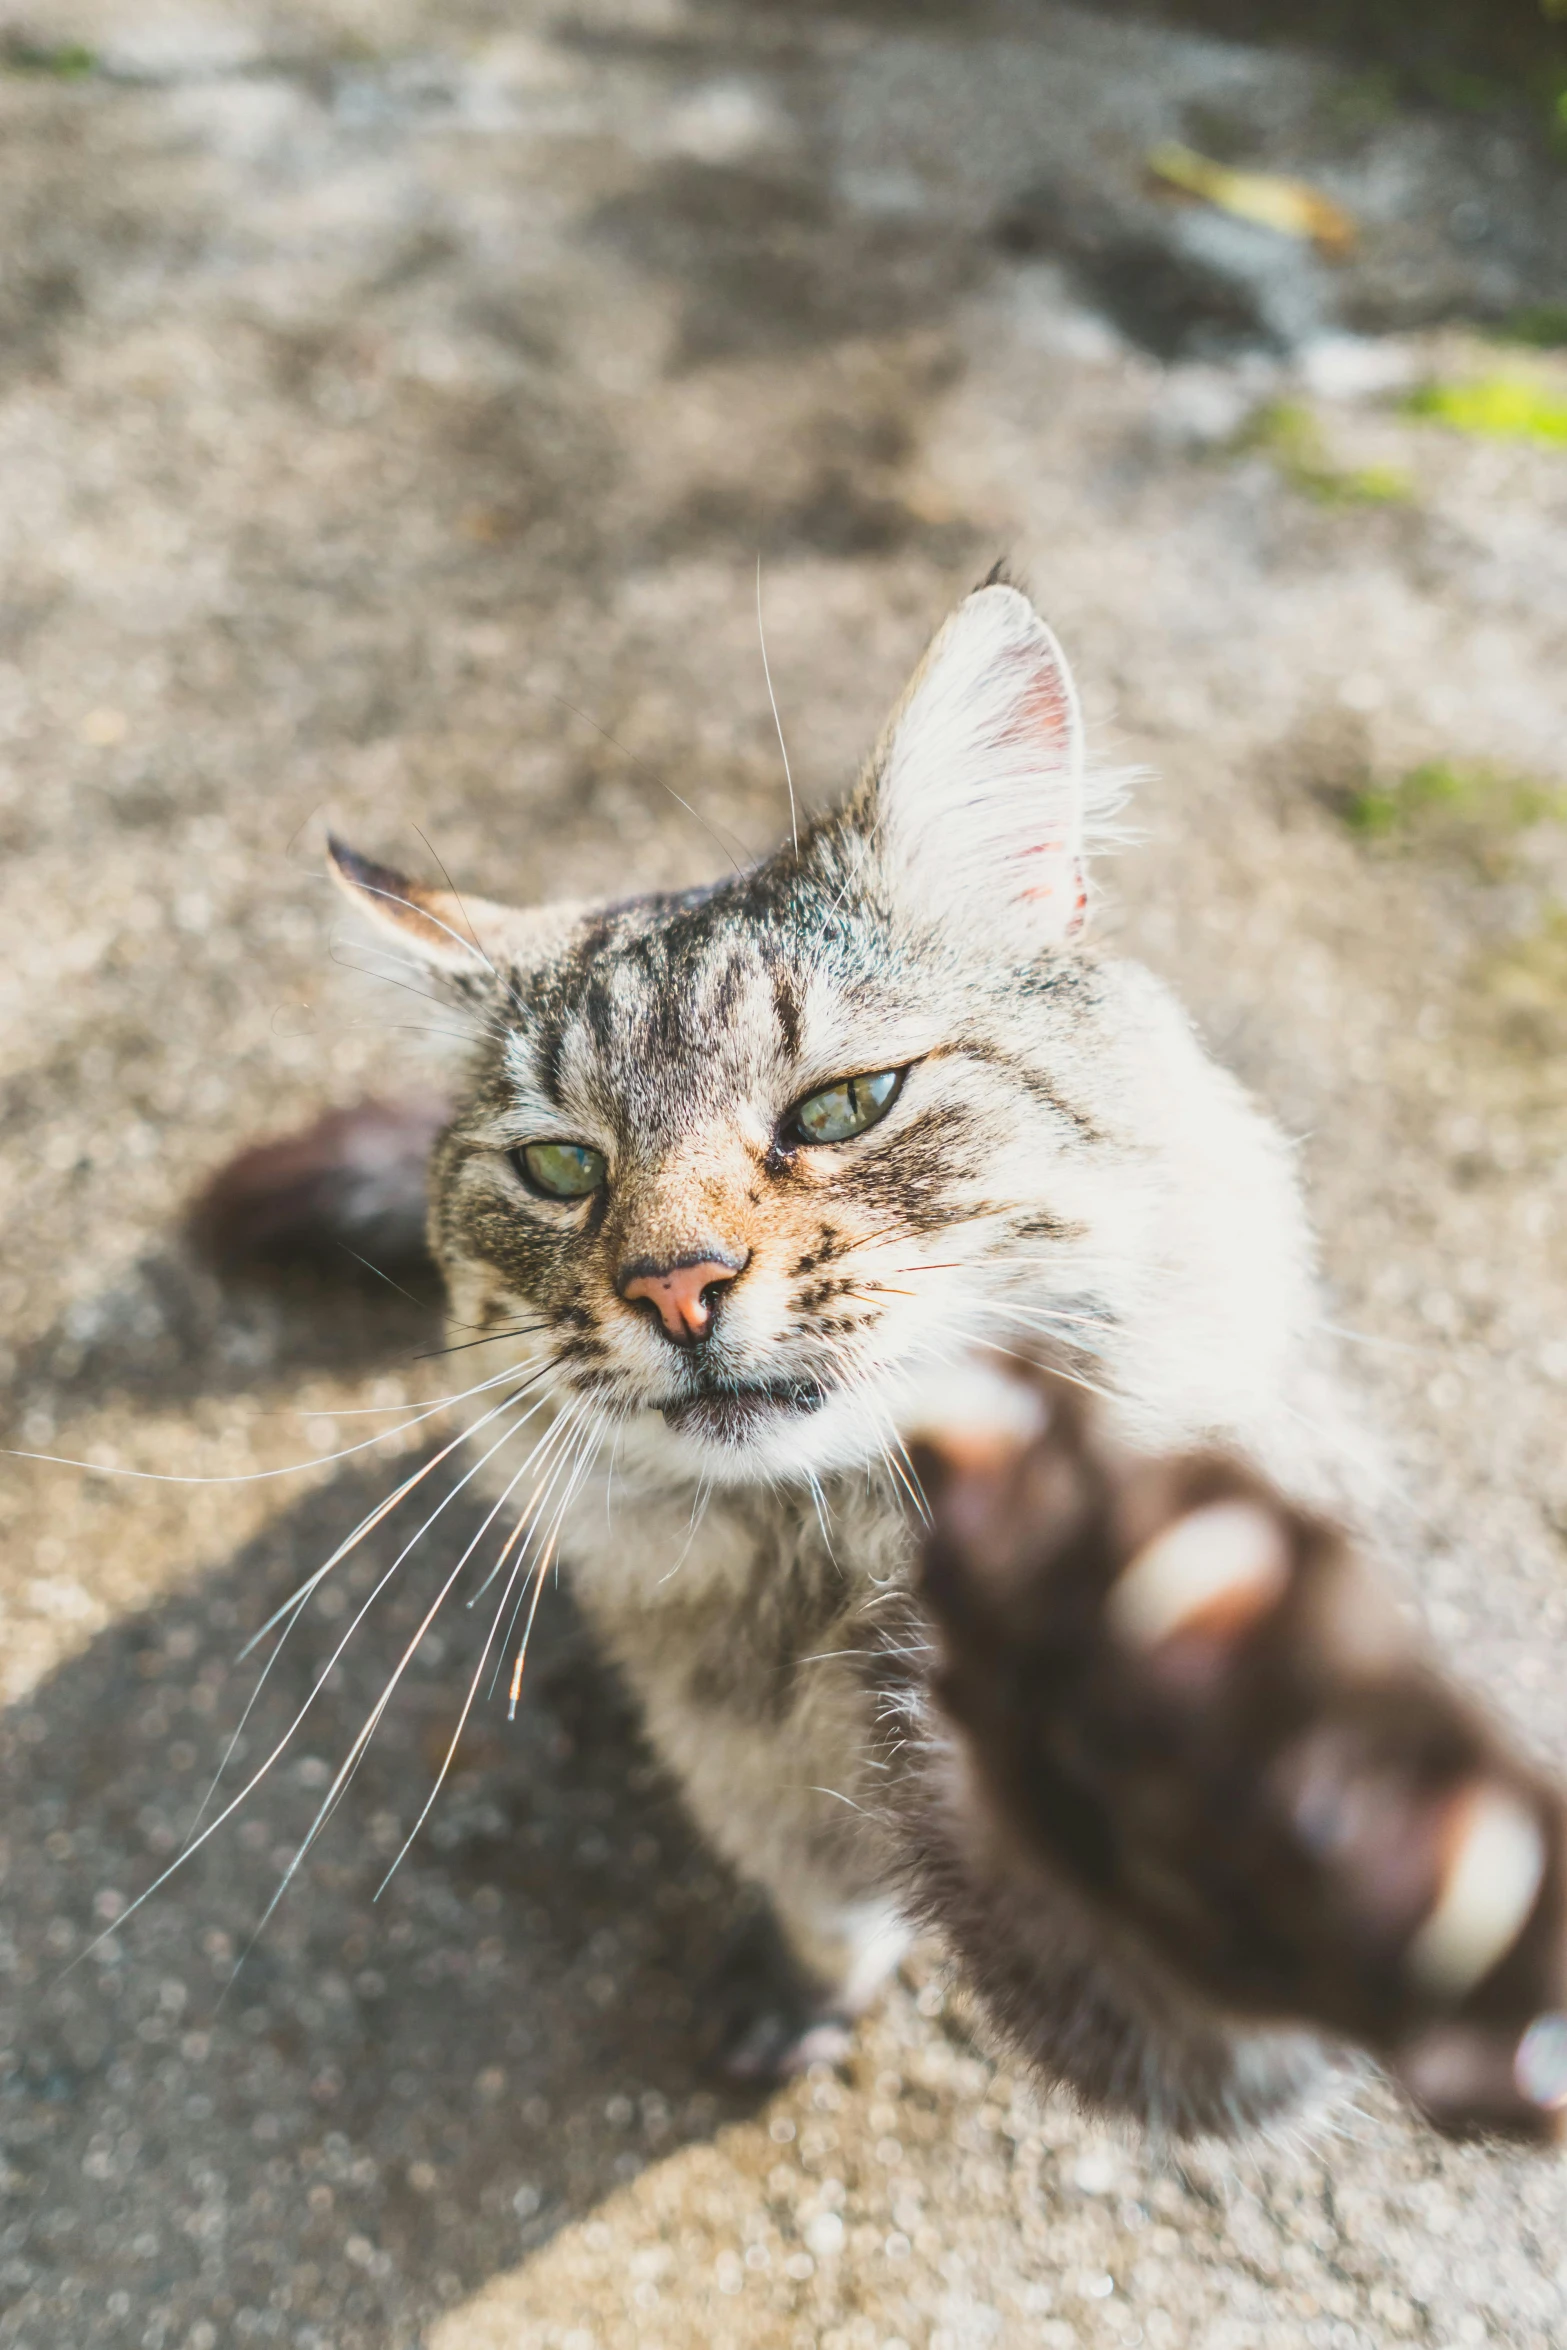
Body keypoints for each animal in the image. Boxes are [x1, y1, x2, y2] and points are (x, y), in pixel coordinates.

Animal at [207, 578, 1567, 2143]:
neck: (830, 1568)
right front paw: (803, 1980)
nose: (675, 1284)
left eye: (845, 1105)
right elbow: (822, 1898)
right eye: (561, 1168)